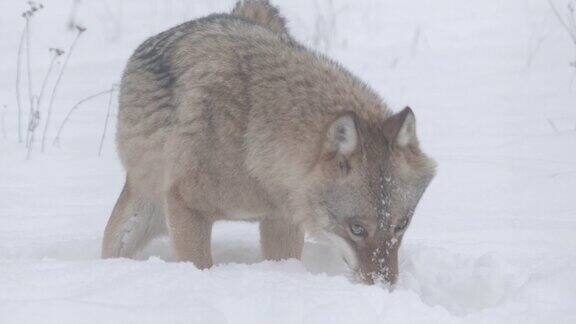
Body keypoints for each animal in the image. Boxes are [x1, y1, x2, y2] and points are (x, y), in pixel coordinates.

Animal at [101, 0, 434, 284]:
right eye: (357, 229)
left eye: (400, 225)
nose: (384, 286)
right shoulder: (188, 209)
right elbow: (199, 265)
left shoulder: (281, 221)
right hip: (138, 217)